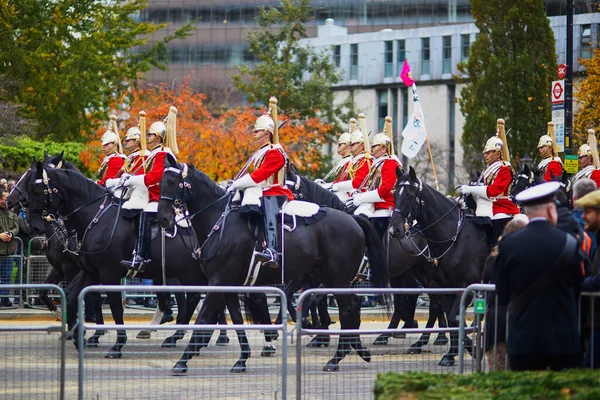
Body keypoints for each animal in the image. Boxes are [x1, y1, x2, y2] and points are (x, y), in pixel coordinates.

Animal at [156, 155, 390, 372]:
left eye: (174, 182)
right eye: (160, 182)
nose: (163, 220)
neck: (219, 222)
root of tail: (353, 220)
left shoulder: (218, 281)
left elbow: (203, 319)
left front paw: (182, 362)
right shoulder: (228, 283)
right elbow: (237, 320)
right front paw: (242, 359)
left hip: (337, 278)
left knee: (347, 309)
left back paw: (337, 358)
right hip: (326, 277)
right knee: (350, 306)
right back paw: (356, 350)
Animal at [390, 167, 488, 368]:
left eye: (410, 195)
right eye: (394, 193)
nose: (394, 230)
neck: (455, 236)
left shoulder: (466, 285)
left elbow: (455, 317)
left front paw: (474, 348)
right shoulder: (448, 287)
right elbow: (452, 318)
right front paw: (452, 355)